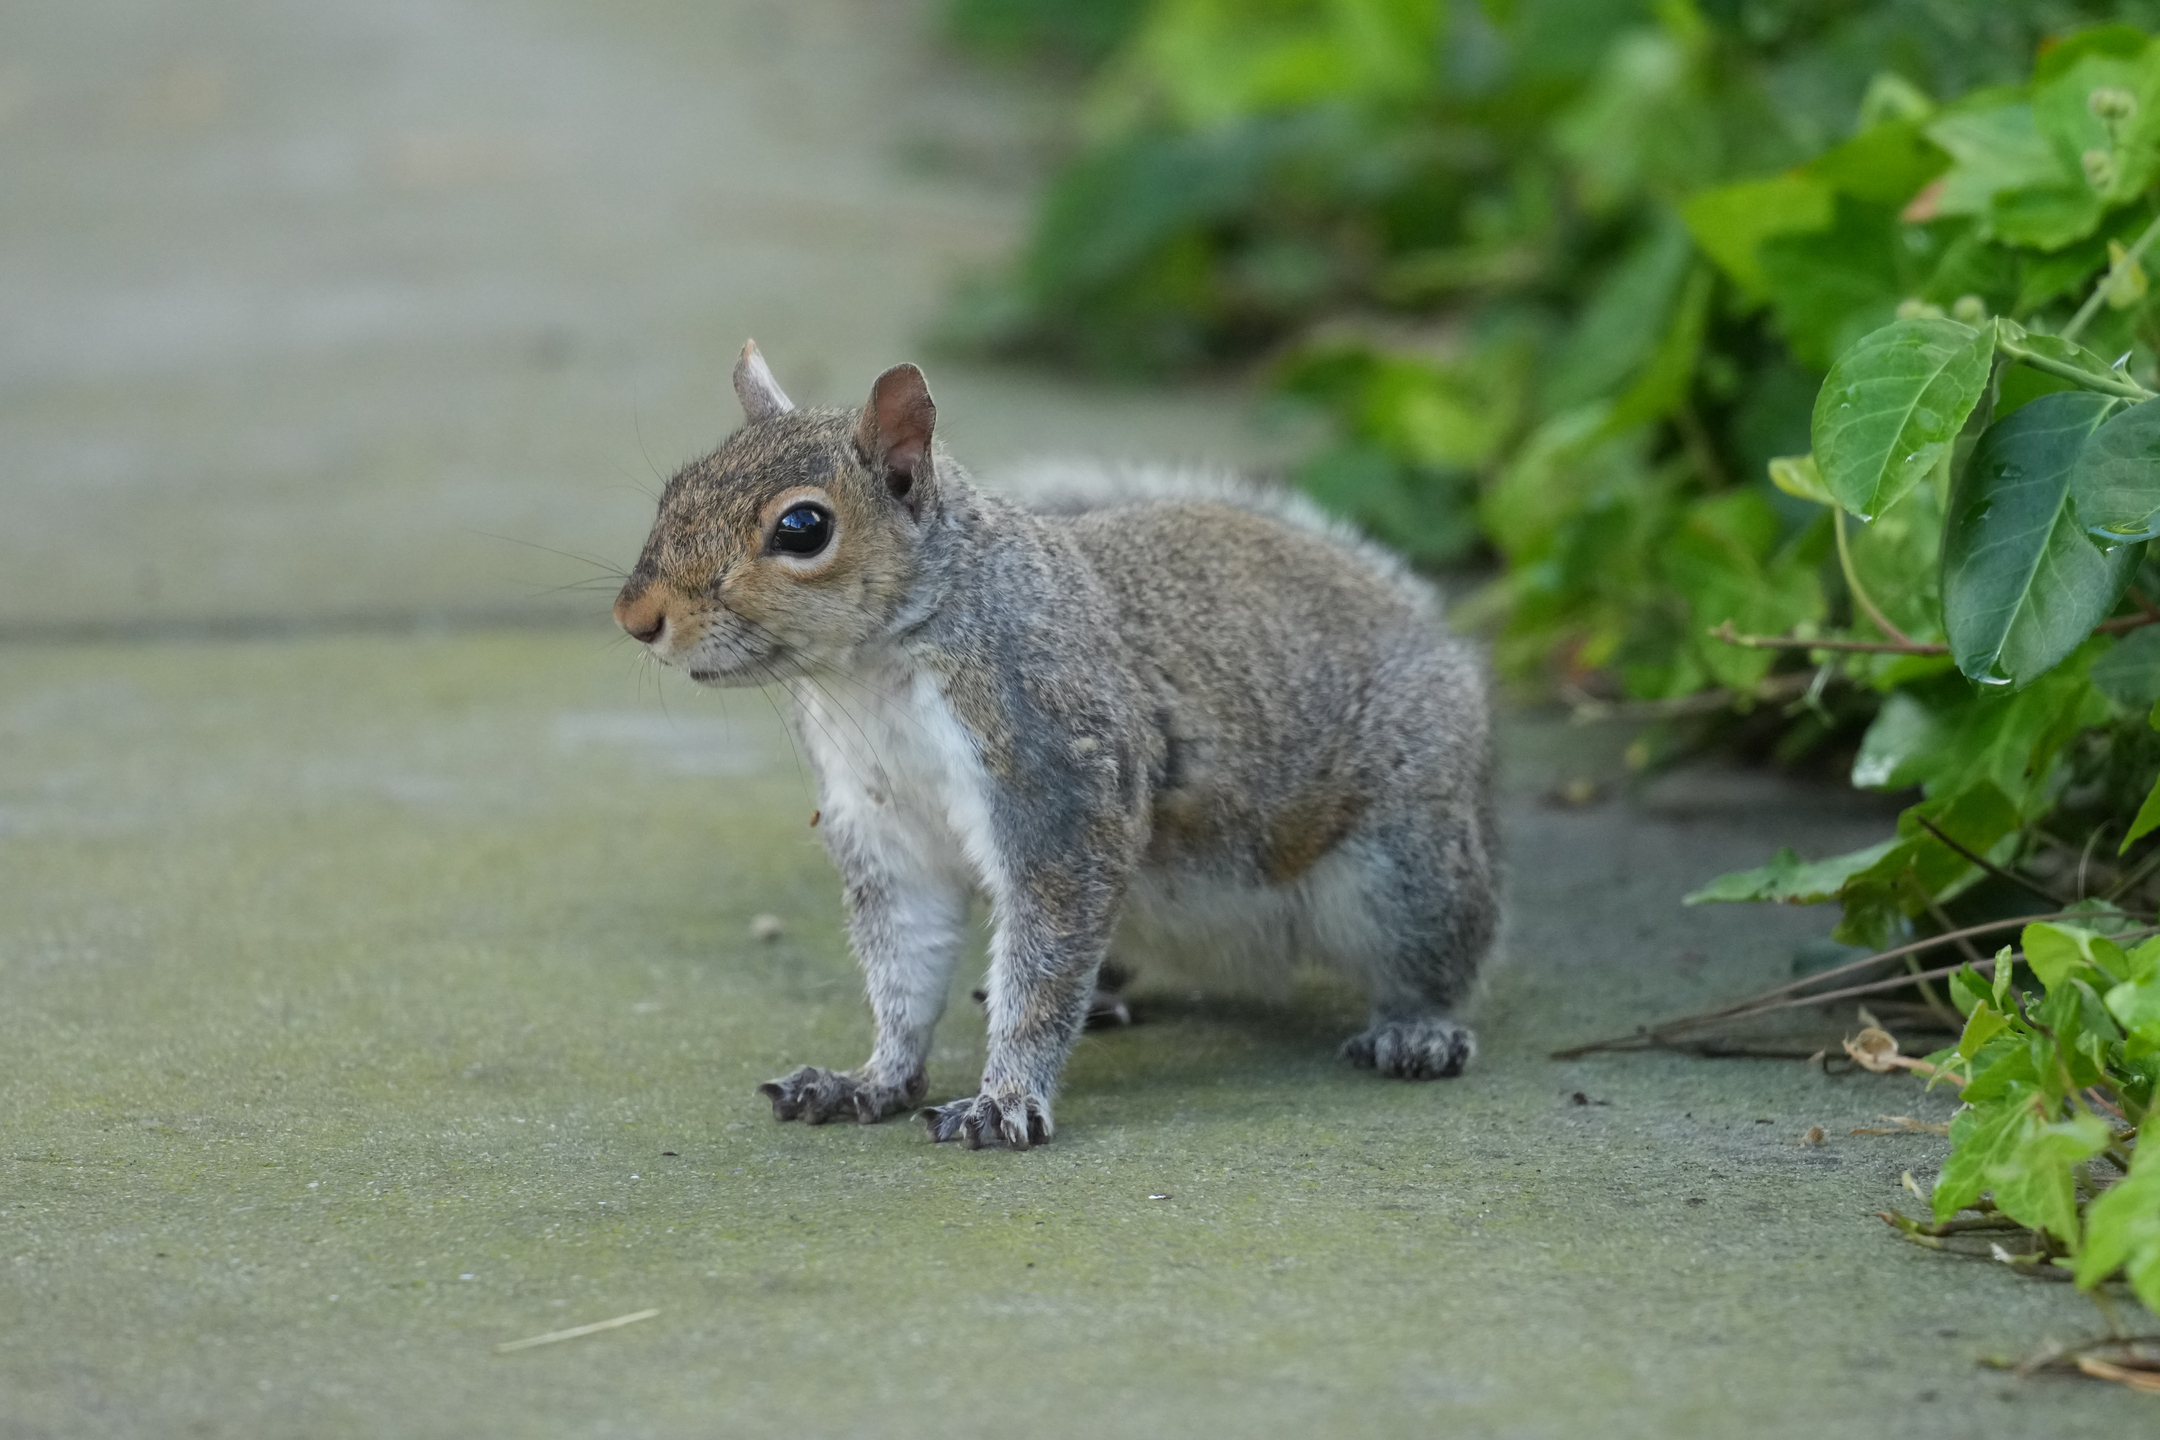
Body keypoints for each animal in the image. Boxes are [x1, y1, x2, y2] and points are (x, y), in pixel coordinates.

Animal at [612, 341, 1499, 1150]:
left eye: (803, 528)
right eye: (676, 489)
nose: (636, 617)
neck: (870, 676)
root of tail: (1431, 634)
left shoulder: (1058, 773)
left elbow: (1041, 968)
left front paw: (1003, 1099)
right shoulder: (886, 825)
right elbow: (905, 965)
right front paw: (870, 1078)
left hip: (1404, 864)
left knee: (1441, 952)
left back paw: (1417, 1031)